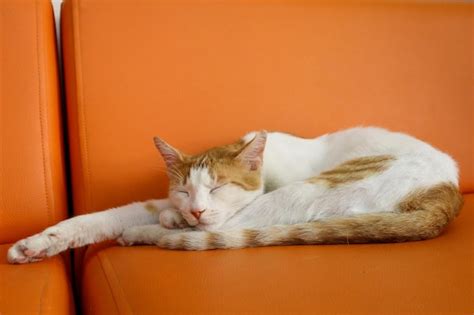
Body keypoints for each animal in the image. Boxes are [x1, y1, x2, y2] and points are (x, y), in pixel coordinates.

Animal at [7, 126, 462, 264]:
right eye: (184, 188)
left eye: (218, 186)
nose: (194, 209)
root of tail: (447, 192)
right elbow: (107, 215)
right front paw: (38, 244)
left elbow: (202, 226)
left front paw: (164, 224)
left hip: (309, 191)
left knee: (218, 235)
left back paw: (148, 235)